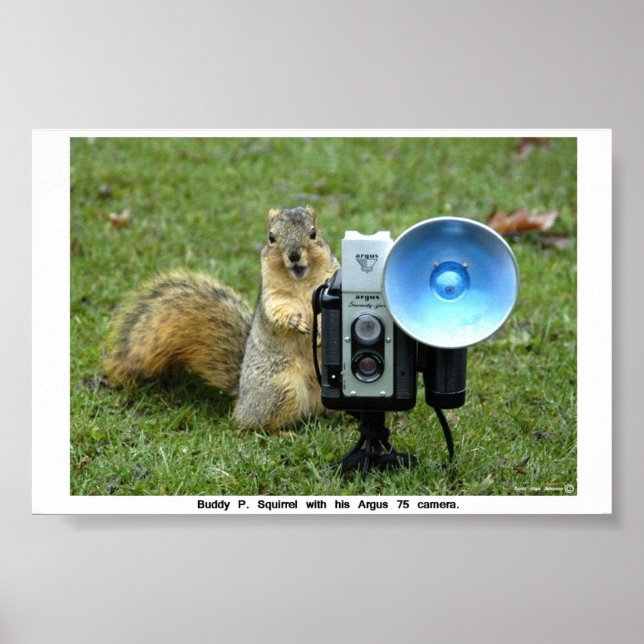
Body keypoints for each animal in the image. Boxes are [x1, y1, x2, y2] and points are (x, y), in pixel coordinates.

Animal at [104, 206, 339, 433]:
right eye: (271, 237)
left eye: (313, 233)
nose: (293, 255)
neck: (301, 282)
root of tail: (242, 398)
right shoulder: (272, 297)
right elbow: (278, 313)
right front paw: (295, 322)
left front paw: (321, 332)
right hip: (282, 388)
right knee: (255, 424)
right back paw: (283, 433)